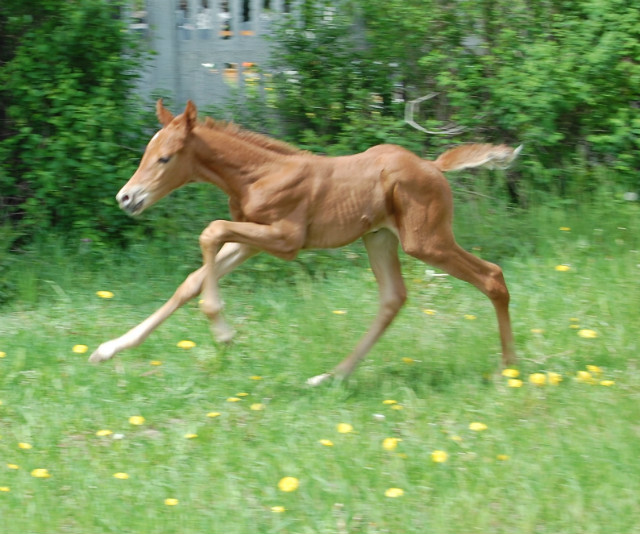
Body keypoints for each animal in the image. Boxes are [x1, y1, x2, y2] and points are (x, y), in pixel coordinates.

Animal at [90, 100, 520, 386]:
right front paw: (108, 349)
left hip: (426, 240)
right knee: (393, 298)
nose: (126, 198)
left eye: (165, 158)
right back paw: (331, 377)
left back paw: (508, 369)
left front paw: (223, 332)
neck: (257, 174)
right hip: (380, 237)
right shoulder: (251, 238)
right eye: (147, 152)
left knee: (492, 276)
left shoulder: (285, 240)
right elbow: (190, 282)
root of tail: (433, 166)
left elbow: (210, 231)